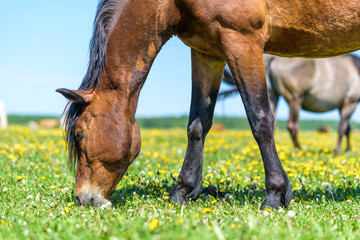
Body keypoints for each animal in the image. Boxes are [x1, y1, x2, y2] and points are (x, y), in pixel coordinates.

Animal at [221, 54, 360, 154]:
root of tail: (273, 58)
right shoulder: (350, 103)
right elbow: (342, 128)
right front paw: (338, 151)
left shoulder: (342, 106)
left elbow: (347, 129)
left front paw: (348, 149)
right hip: (295, 100)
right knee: (292, 126)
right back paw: (299, 149)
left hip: (273, 96)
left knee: (273, 124)